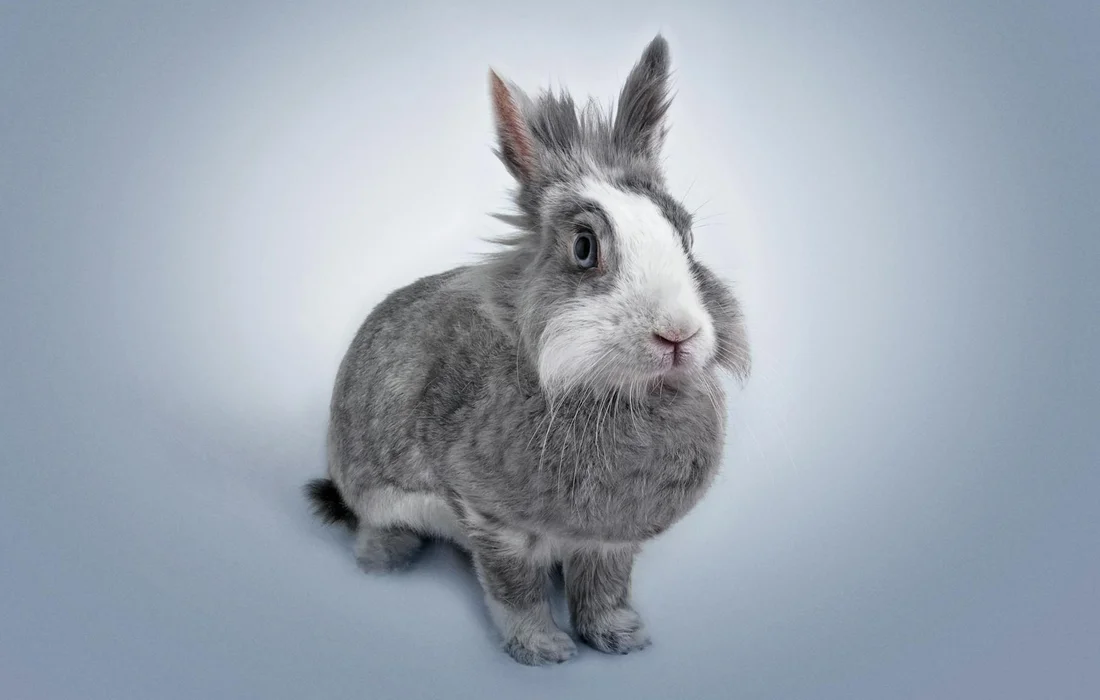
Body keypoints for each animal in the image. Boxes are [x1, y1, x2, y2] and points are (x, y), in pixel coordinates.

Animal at [305, 34, 751, 666]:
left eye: (686, 236)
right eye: (584, 247)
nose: (678, 335)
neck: (610, 393)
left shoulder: (608, 541)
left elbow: (605, 589)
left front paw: (621, 638)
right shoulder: (493, 523)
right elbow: (514, 590)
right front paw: (544, 650)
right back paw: (385, 564)